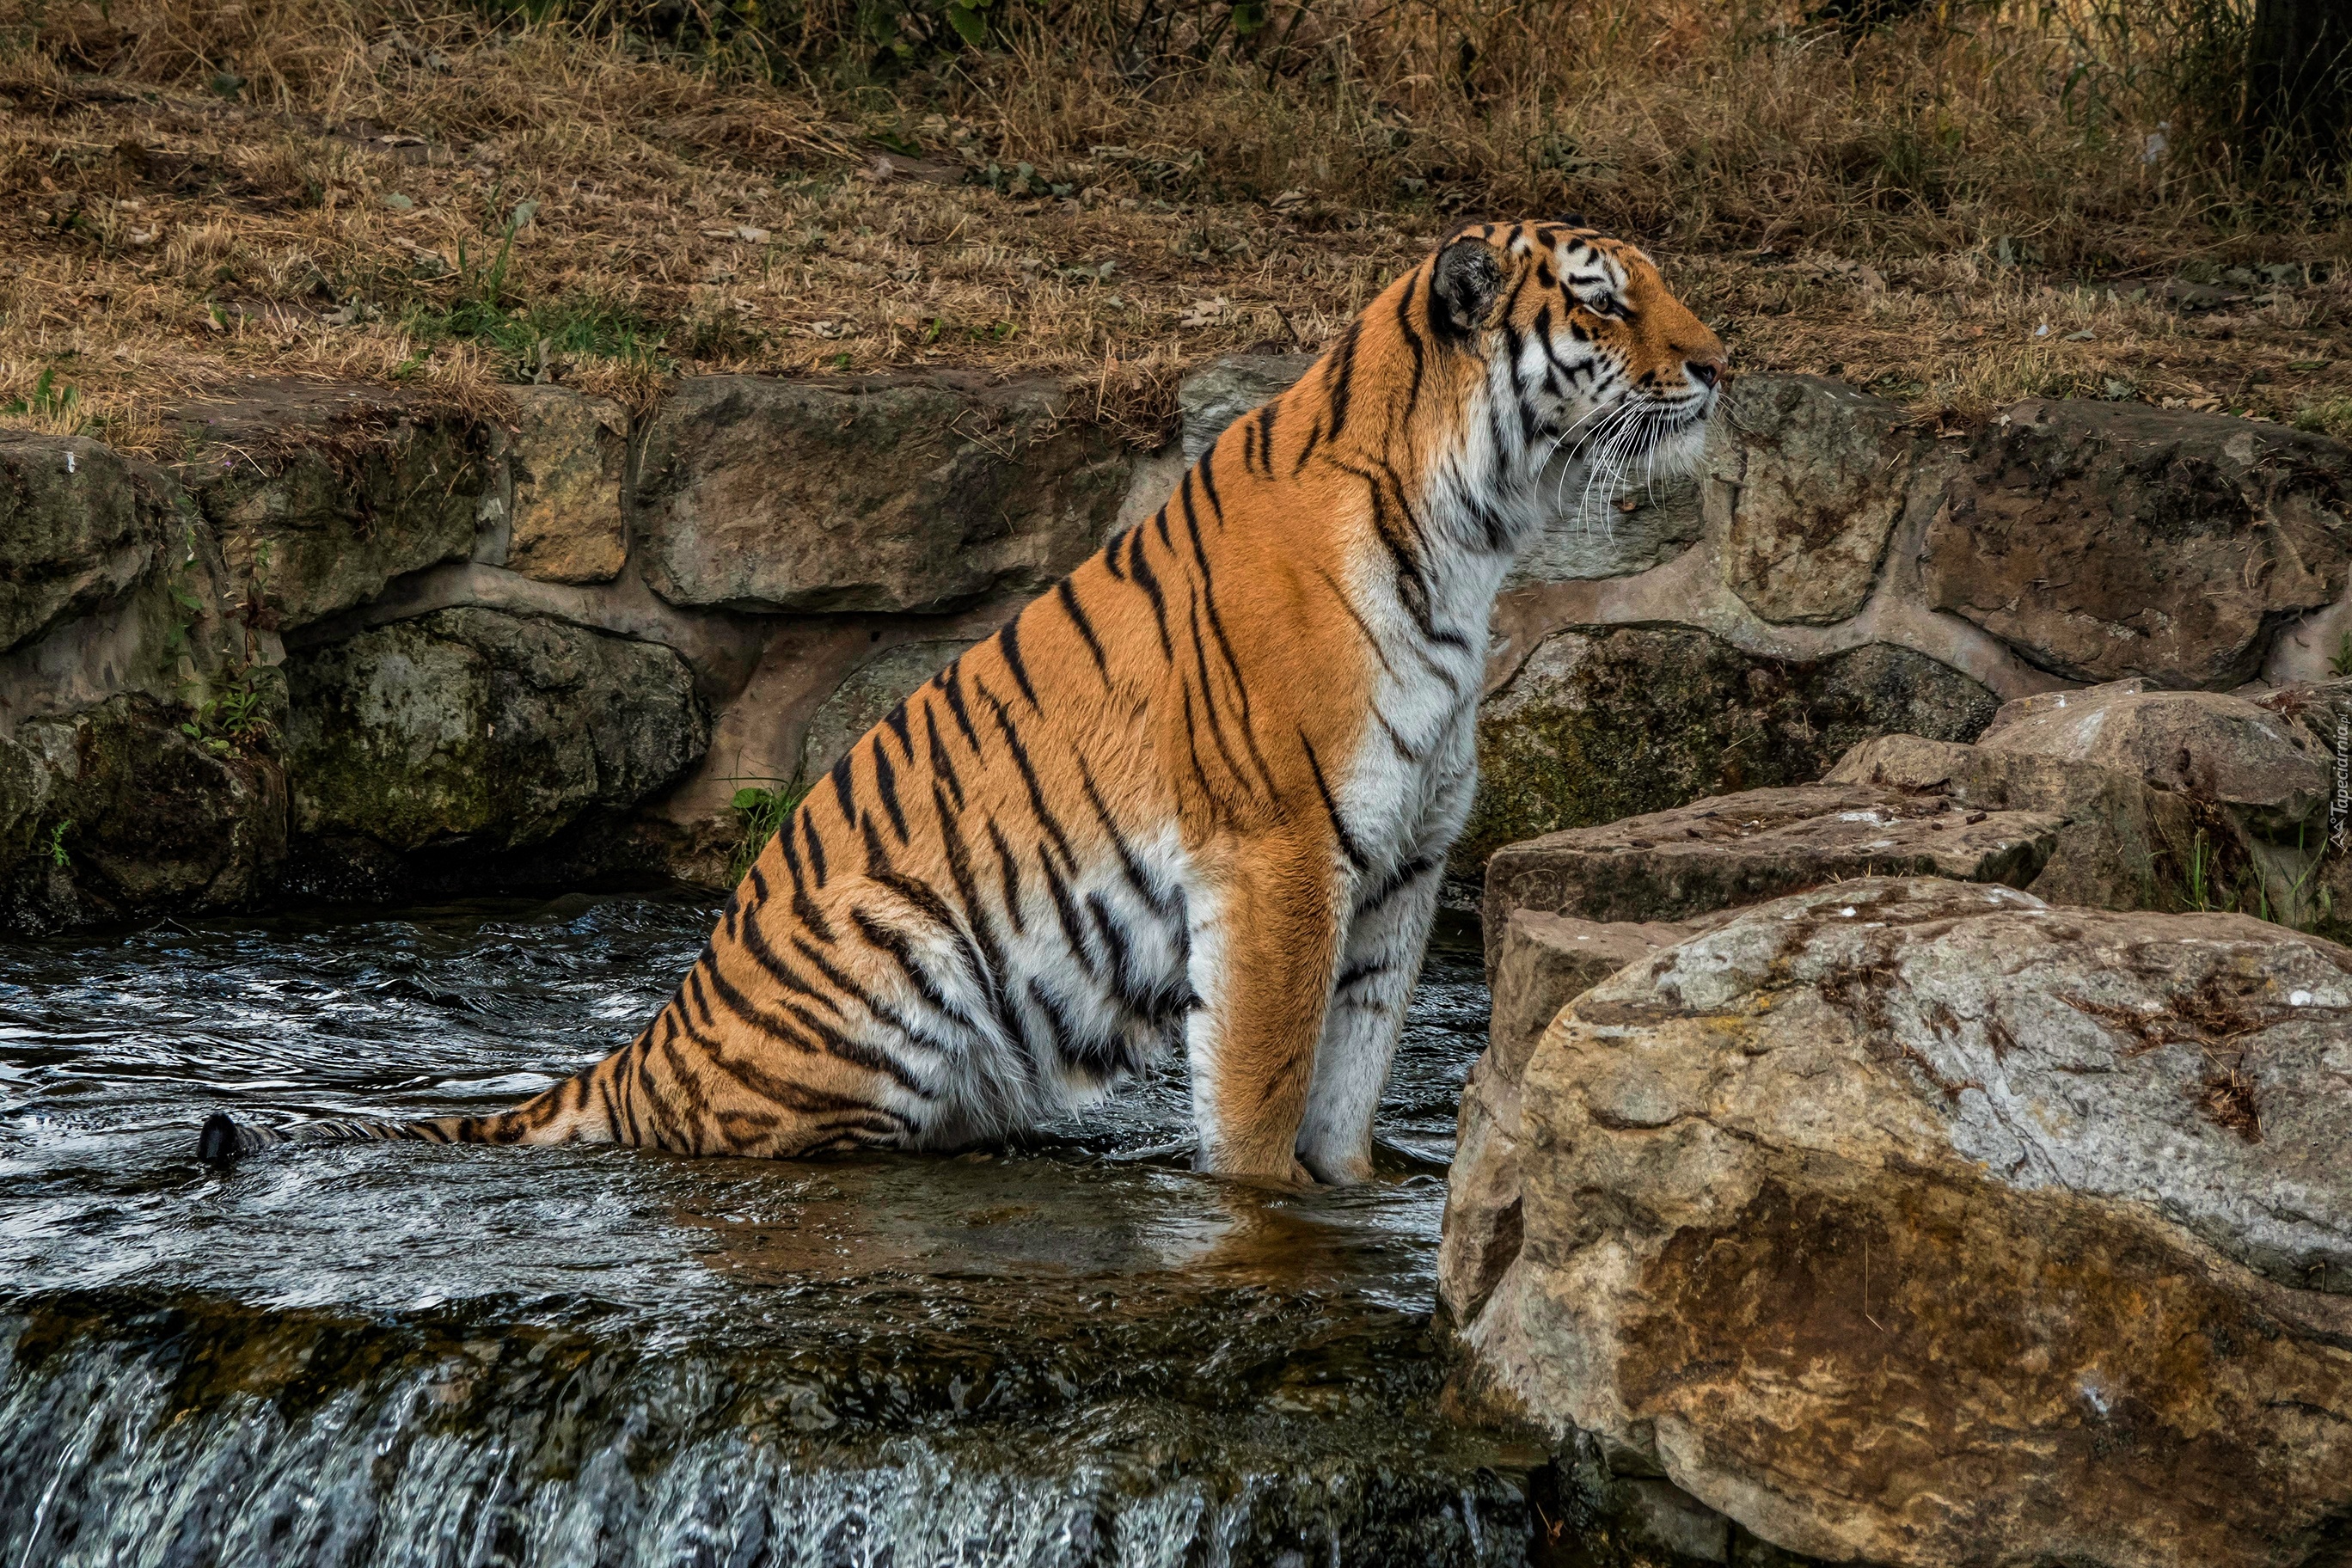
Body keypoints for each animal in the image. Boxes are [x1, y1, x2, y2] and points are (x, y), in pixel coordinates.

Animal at [206, 217, 1730, 1189]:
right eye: (1602, 299)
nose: (1720, 367)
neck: (1478, 535)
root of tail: (655, 1038)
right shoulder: (1282, 855)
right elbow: (1259, 1093)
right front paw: (1262, 1215)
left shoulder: (1405, 869)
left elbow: (1348, 1084)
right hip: (894, 967)